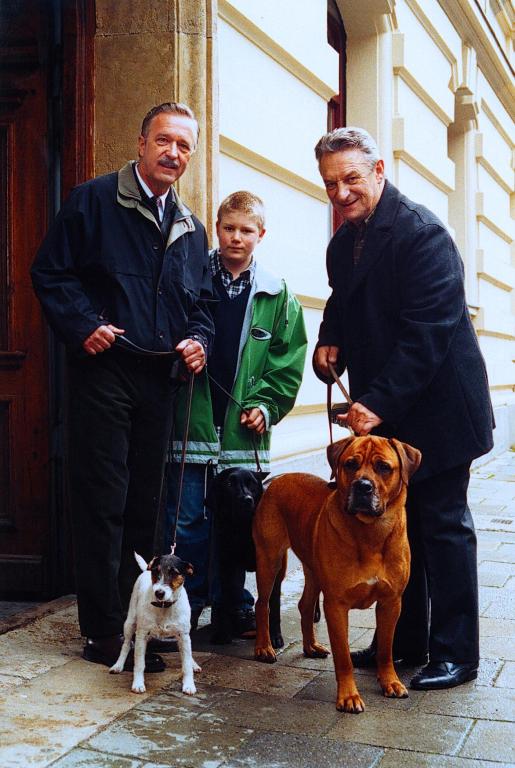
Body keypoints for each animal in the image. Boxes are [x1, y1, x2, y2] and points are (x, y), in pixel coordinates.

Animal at [206, 468, 284, 648]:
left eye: (252, 484)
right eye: (229, 483)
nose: (247, 500)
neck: (243, 528)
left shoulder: (273, 570)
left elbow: (274, 605)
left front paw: (275, 637)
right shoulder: (227, 567)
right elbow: (227, 600)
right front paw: (223, 634)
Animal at [253, 438, 420, 712]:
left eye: (384, 467)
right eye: (350, 464)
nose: (363, 486)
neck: (370, 533)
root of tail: (277, 479)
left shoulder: (391, 602)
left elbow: (386, 649)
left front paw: (391, 682)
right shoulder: (336, 605)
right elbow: (343, 656)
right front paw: (349, 696)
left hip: (312, 569)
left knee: (305, 604)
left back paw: (310, 646)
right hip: (270, 559)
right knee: (262, 604)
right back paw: (264, 648)